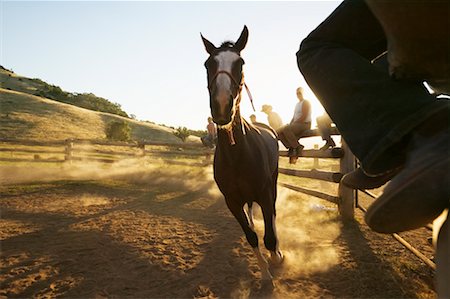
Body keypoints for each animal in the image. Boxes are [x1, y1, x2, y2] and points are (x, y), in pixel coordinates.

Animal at [201, 26, 284, 284]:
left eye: (240, 62)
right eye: (208, 64)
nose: (221, 107)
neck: (237, 155)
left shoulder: (265, 193)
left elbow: (268, 236)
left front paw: (276, 257)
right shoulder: (232, 201)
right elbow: (251, 236)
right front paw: (265, 272)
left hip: (273, 183)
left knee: (273, 215)